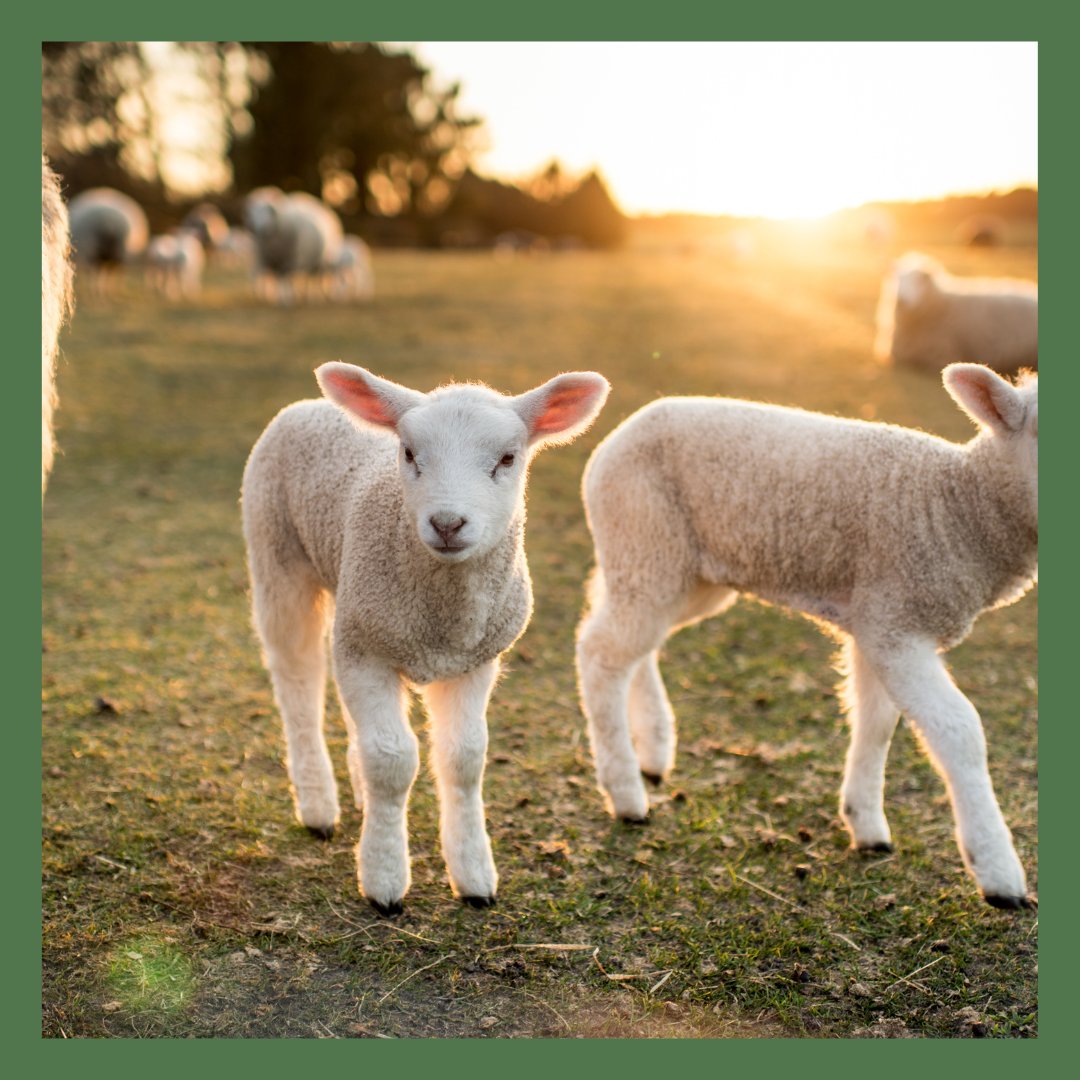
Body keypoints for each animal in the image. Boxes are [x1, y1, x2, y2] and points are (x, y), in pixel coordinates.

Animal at [241, 364, 610, 914]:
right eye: (410, 453)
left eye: (508, 458)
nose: (448, 523)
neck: (443, 620)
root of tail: (312, 404)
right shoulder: (369, 650)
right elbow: (392, 761)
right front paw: (384, 878)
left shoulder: (473, 659)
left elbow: (463, 758)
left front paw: (474, 876)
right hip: (278, 557)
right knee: (298, 683)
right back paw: (318, 805)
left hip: (351, 602)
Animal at [576, 364, 1037, 909]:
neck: (961, 505)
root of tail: (624, 429)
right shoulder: (896, 624)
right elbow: (959, 730)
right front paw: (998, 871)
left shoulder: (876, 621)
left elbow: (876, 723)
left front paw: (866, 823)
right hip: (645, 539)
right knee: (601, 653)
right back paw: (626, 793)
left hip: (680, 572)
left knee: (633, 642)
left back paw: (653, 750)